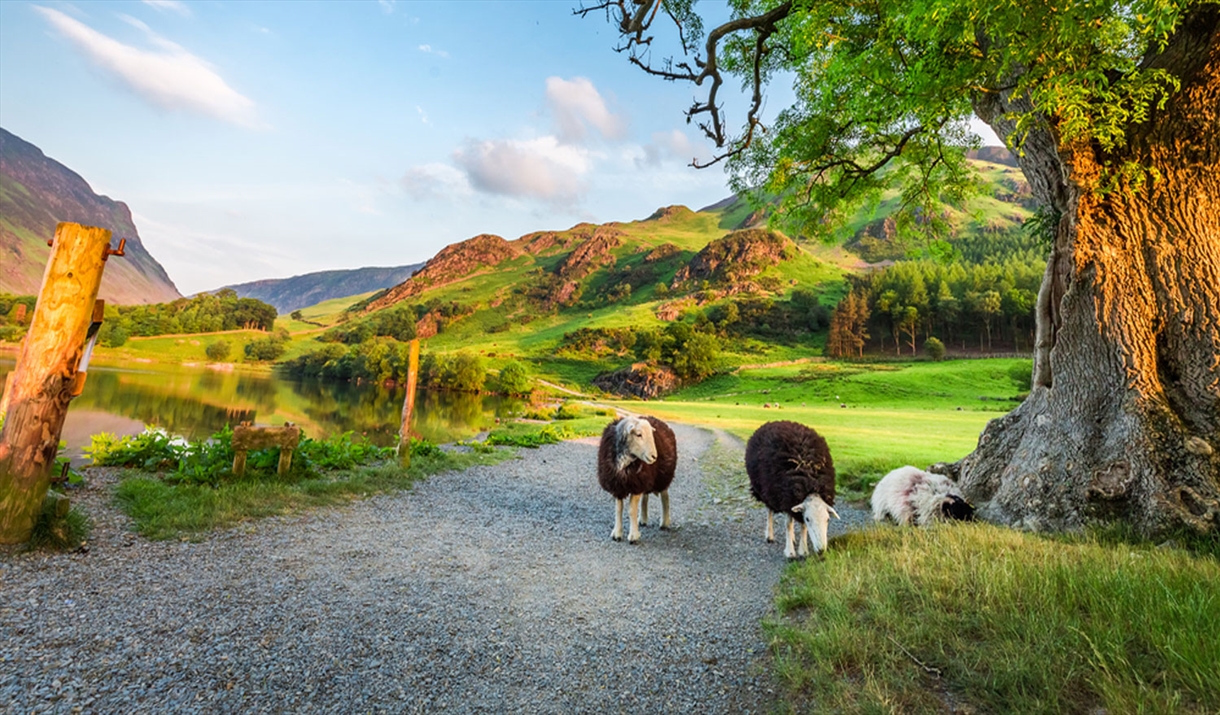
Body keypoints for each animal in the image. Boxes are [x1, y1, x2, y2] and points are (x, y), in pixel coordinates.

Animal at [741, 417, 839, 556]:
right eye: (808, 519)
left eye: (828, 519)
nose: (821, 550)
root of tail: (776, 421)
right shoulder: (786, 497)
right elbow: (788, 524)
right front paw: (790, 552)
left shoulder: (793, 499)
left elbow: (801, 525)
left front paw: (803, 550)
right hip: (767, 491)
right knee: (770, 511)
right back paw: (770, 536)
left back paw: (792, 538)